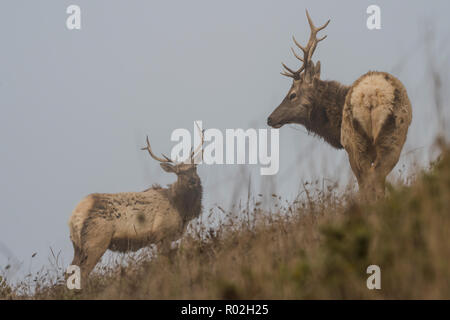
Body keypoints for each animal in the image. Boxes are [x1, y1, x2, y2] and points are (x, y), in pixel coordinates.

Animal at [268, 9, 412, 200]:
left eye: (292, 95)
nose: (270, 119)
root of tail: (372, 95)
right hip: (394, 136)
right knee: (378, 177)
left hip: (354, 140)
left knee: (368, 180)